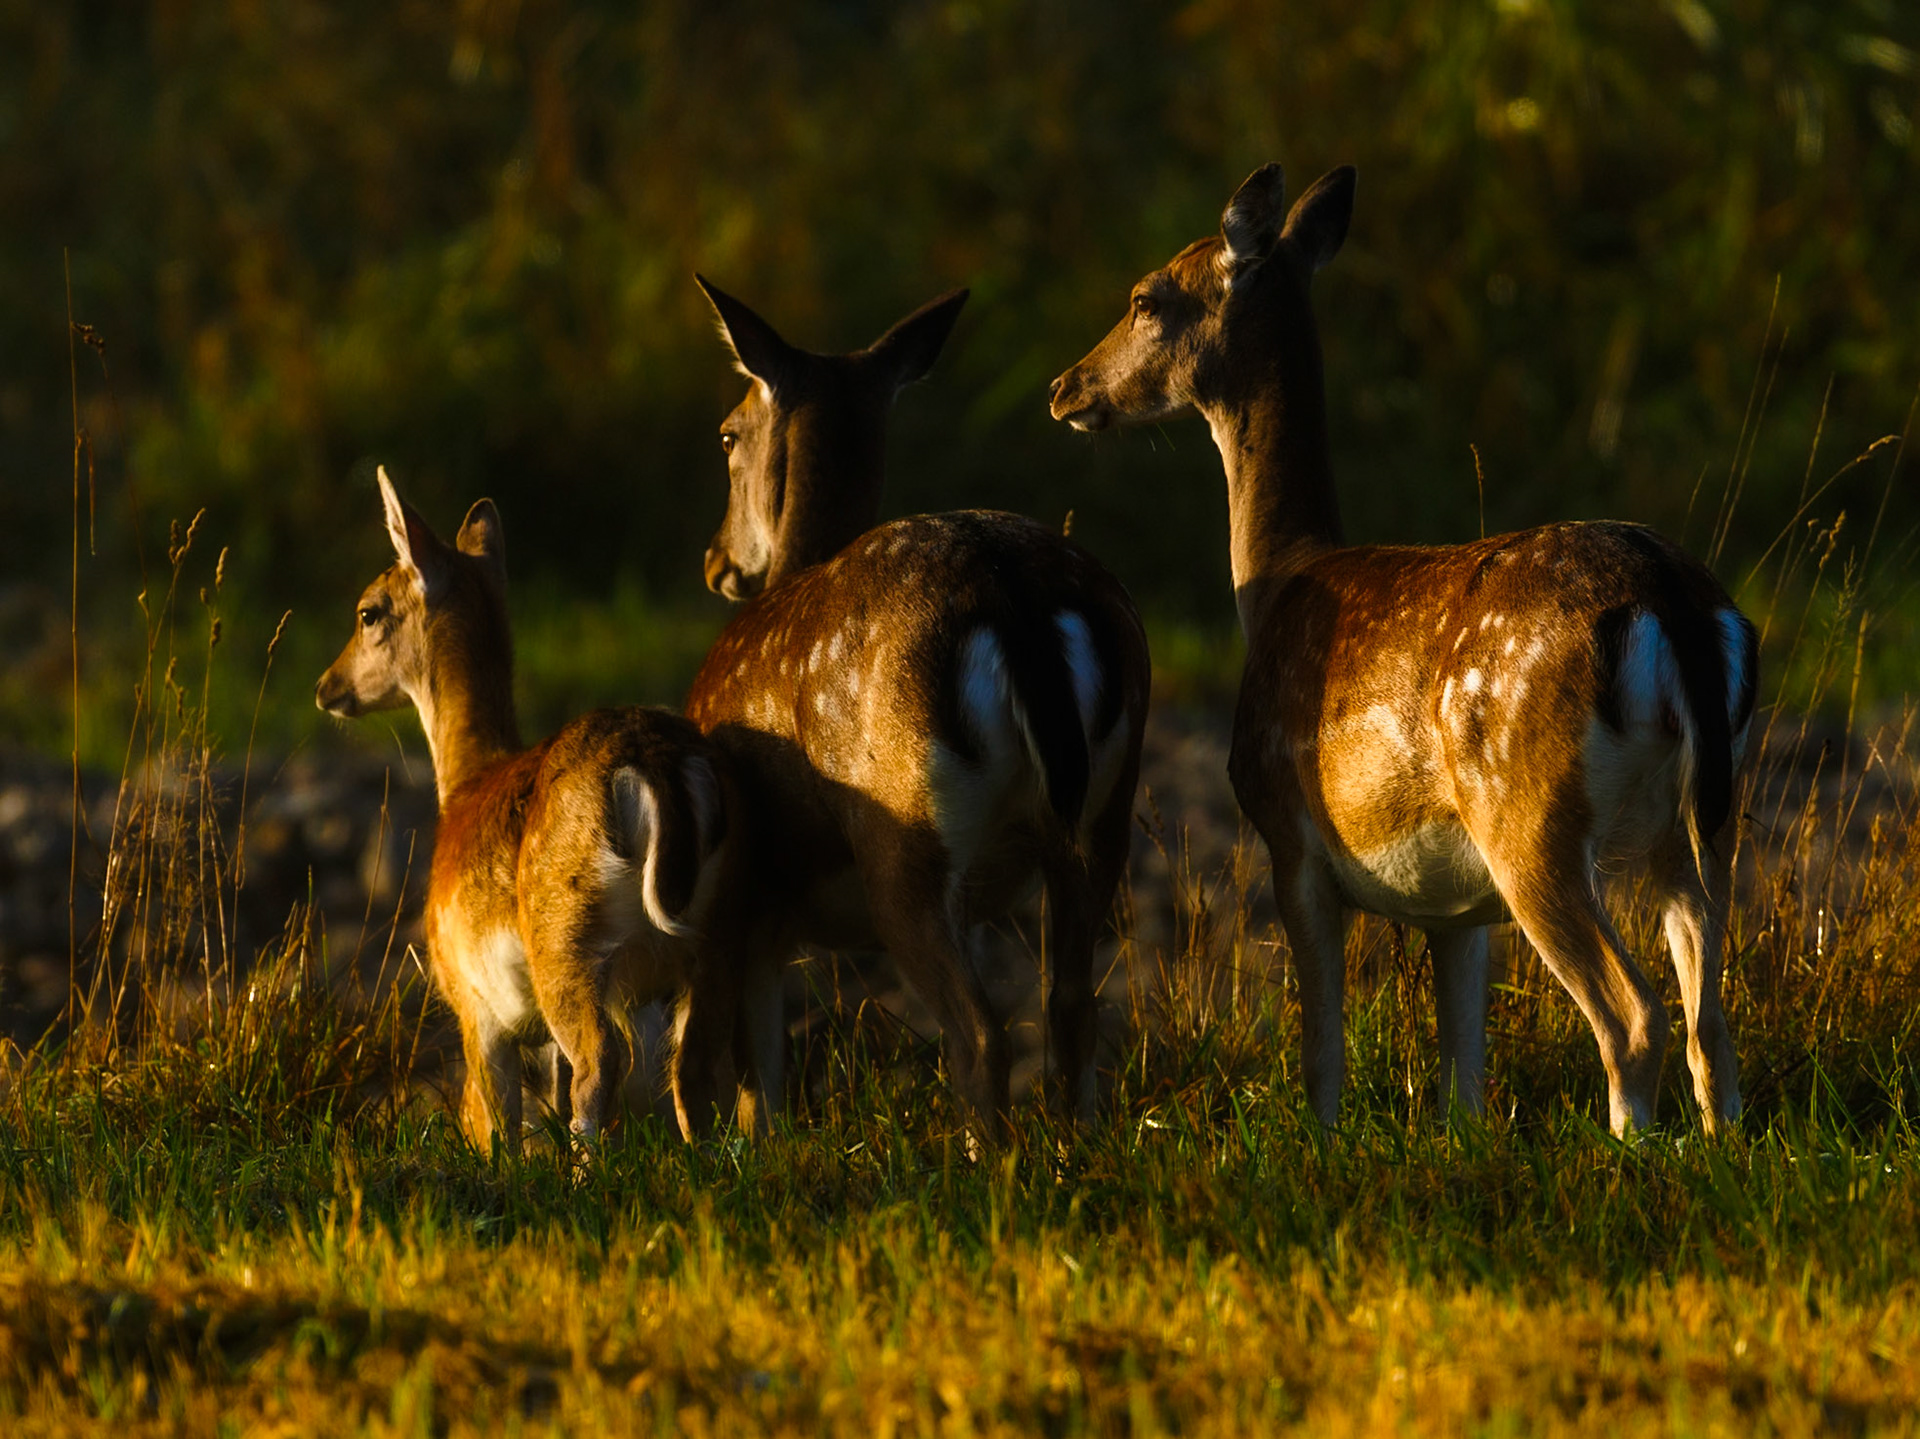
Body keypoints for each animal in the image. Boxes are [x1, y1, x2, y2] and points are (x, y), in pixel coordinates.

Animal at [316, 467, 752, 1148]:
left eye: (368, 612)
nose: (326, 687)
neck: (463, 786)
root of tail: (661, 768)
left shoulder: (472, 1002)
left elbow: (493, 1120)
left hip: (565, 943)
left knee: (600, 1065)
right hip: (718, 939)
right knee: (695, 1073)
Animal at [682, 278, 1151, 1140]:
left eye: (728, 434)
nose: (716, 561)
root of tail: (1013, 591)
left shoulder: (749, 900)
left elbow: (757, 1083)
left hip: (904, 829)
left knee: (980, 1032)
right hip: (1106, 806)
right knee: (1071, 1007)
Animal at [1049, 164, 1759, 1138]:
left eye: (1145, 298)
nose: (1065, 386)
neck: (1279, 582)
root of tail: (1671, 600)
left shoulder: (1291, 838)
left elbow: (1322, 1049)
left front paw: (1319, 1140)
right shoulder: (1455, 906)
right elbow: (1463, 1073)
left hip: (1526, 807)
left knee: (1635, 1016)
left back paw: (1631, 1149)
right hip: (1706, 815)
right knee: (1711, 1019)